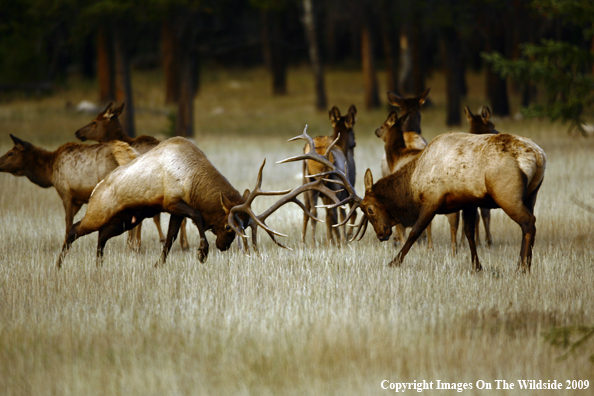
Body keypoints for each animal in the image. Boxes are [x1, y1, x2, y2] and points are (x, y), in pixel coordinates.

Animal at [280, 125, 544, 274]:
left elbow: (416, 231)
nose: (381, 234)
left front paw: (394, 262)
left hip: (506, 192)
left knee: (528, 222)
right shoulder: (468, 200)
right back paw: (526, 265)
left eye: (369, 209)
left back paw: (522, 267)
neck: (412, 184)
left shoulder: (433, 199)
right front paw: (477, 267)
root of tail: (538, 156)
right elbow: (469, 233)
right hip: (532, 193)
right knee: (531, 221)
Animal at [300, 105, 356, 248]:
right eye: (353, 133)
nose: (354, 143)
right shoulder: (346, 187)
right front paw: (341, 239)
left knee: (310, 211)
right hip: (335, 185)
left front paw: (331, 240)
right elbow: (340, 214)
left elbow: (327, 216)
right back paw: (340, 241)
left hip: (308, 183)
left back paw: (308, 243)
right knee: (336, 212)